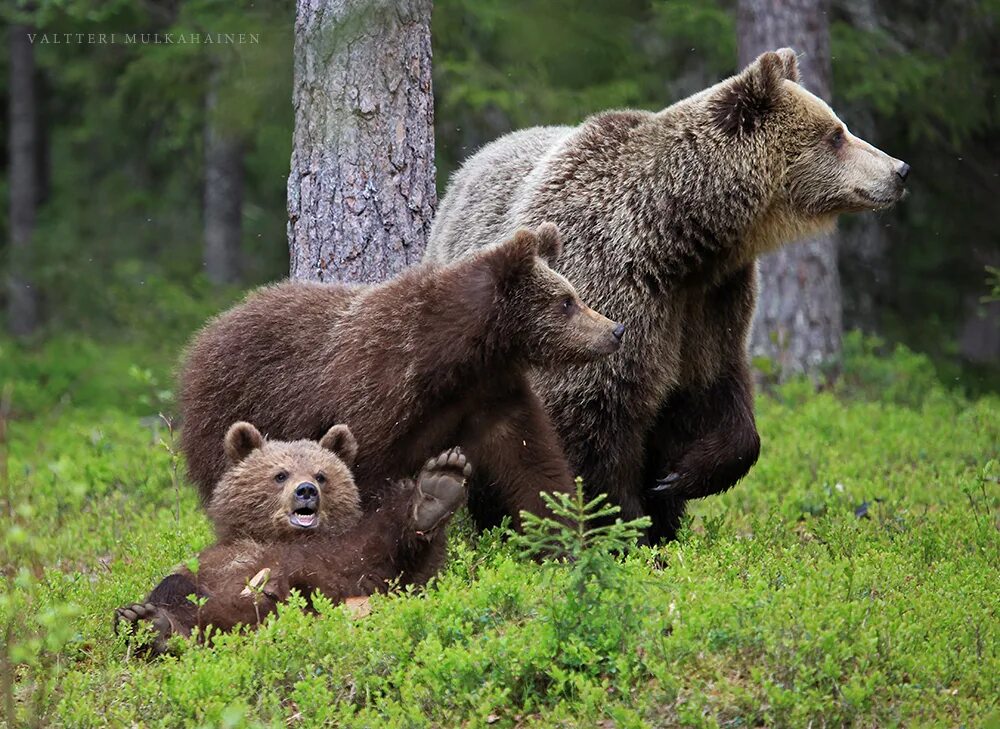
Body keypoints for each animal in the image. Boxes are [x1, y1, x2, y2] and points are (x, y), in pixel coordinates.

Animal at [426, 47, 912, 540]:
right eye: (836, 134)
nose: (900, 169)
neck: (679, 239)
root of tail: (468, 165)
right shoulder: (610, 289)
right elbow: (592, 418)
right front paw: (620, 526)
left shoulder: (711, 302)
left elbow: (718, 388)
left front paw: (678, 479)